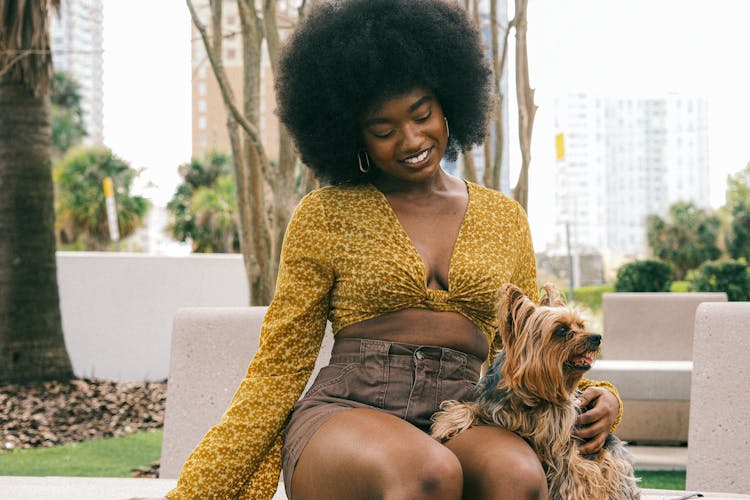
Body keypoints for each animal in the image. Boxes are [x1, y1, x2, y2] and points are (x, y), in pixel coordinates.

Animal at [434, 284, 640, 498]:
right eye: (562, 329)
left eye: (581, 326)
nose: (597, 337)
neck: (535, 392)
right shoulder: (493, 408)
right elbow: (469, 407)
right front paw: (446, 424)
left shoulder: (566, 442)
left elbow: (574, 475)